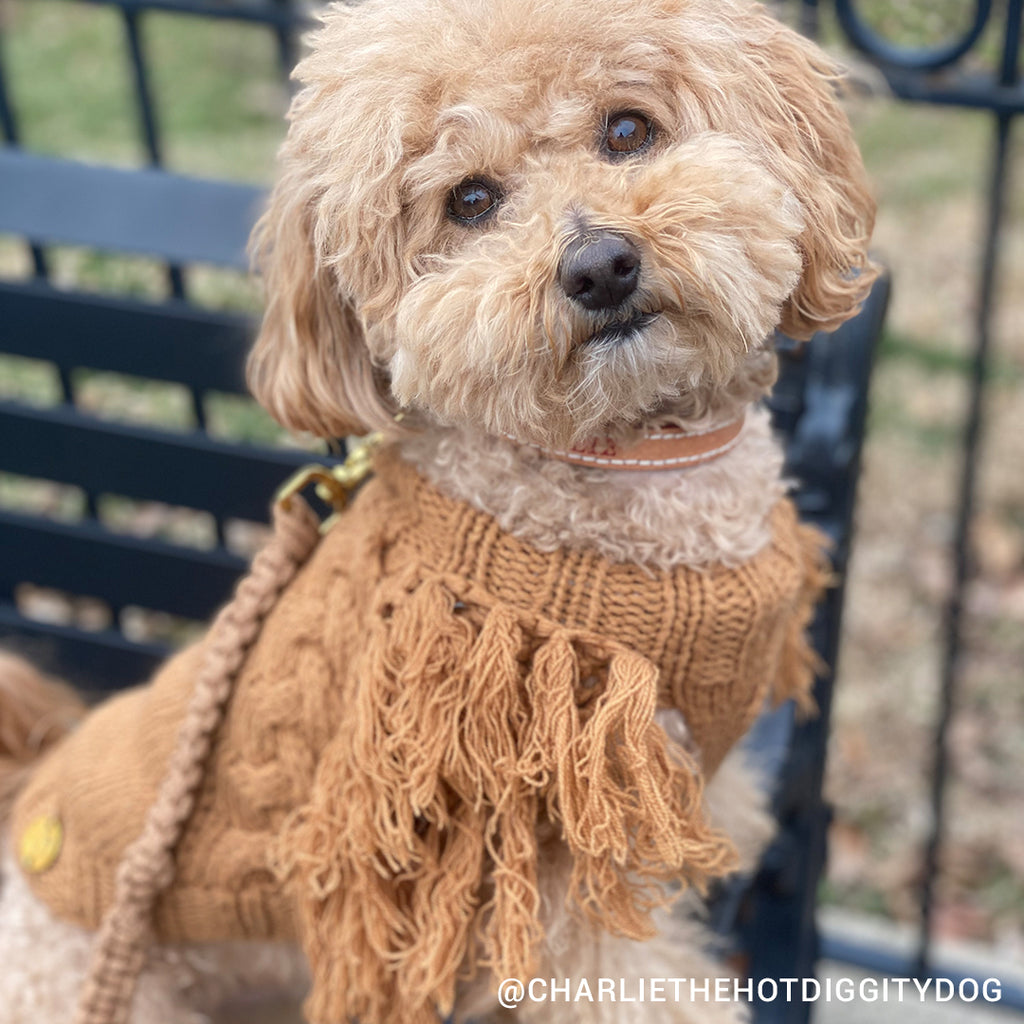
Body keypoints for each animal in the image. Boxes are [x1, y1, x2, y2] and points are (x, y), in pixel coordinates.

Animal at [0, 0, 872, 1019]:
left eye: (627, 130)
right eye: (470, 200)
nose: (599, 264)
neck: (629, 469)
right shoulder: (551, 851)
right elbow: (632, 977)